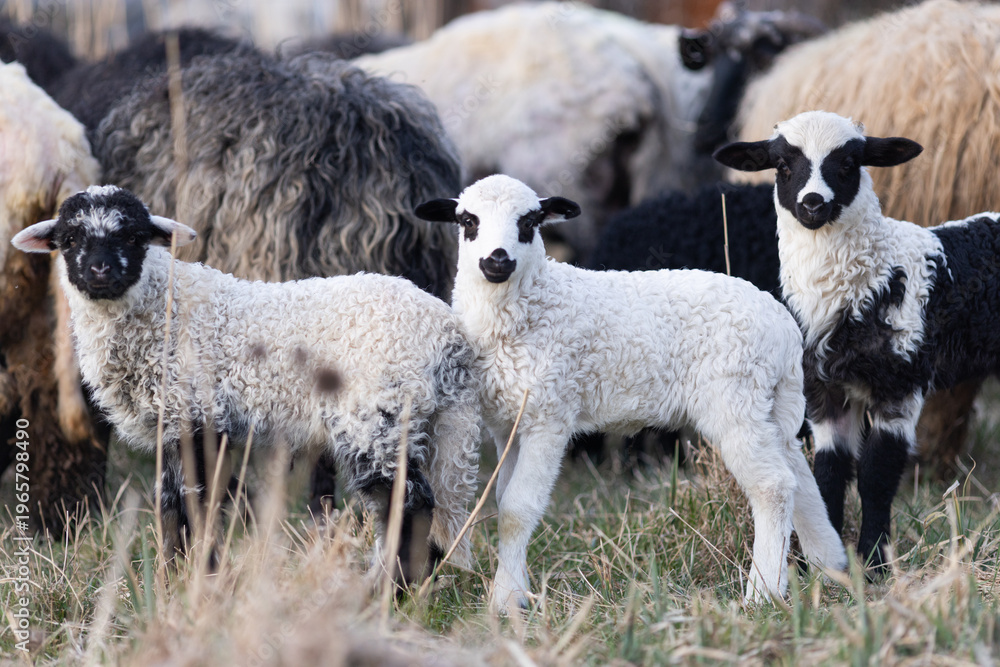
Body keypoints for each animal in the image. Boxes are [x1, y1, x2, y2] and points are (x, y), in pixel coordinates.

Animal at [12, 185, 481, 580]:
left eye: (134, 237)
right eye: (69, 239)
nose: (100, 269)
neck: (162, 306)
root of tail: (449, 335)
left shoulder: (200, 414)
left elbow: (199, 502)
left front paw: (203, 578)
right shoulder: (172, 421)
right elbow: (168, 504)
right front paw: (171, 579)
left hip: (375, 412)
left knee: (407, 502)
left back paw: (386, 590)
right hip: (424, 419)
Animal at [415, 174, 847, 613]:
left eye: (530, 222)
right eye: (468, 221)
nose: (497, 261)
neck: (531, 308)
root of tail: (784, 327)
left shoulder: (549, 412)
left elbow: (517, 509)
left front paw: (505, 600)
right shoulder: (507, 425)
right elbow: (503, 498)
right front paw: (517, 588)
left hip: (734, 399)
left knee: (773, 486)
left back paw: (763, 592)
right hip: (772, 403)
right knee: (800, 478)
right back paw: (830, 567)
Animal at [715, 110, 1000, 572]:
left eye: (849, 163)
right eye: (782, 165)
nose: (813, 203)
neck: (878, 271)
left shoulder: (900, 382)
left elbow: (876, 476)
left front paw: (875, 561)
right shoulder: (824, 391)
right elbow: (829, 472)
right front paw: (820, 563)